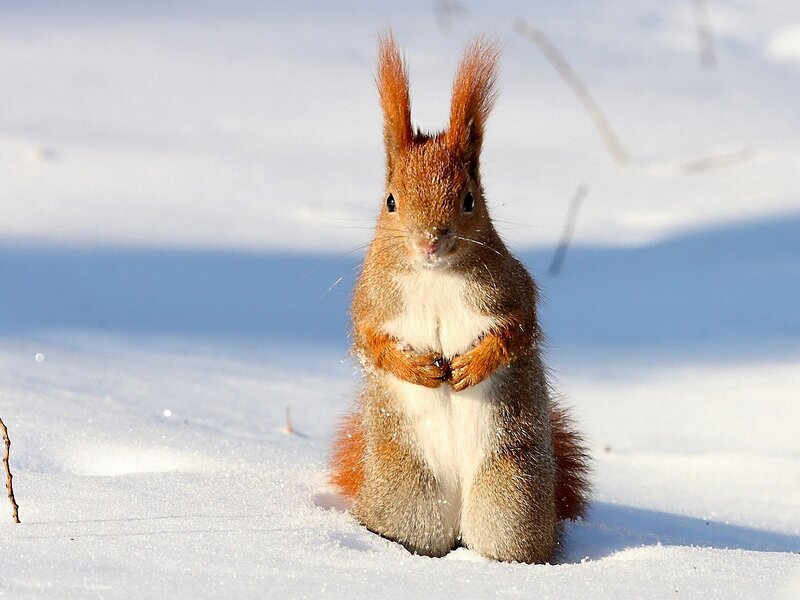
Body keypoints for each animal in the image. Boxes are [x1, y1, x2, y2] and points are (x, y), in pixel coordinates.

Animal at [330, 34, 590, 564]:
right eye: (390, 200)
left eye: (470, 199)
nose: (430, 241)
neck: (434, 277)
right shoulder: (371, 302)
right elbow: (371, 342)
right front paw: (421, 370)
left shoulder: (511, 290)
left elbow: (517, 330)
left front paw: (472, 366)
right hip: (409, 495)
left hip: (511, 494)